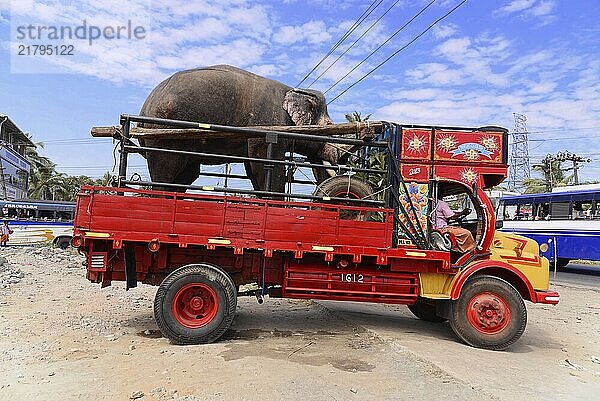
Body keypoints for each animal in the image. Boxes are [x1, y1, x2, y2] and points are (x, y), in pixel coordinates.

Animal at [137, 64, 342, 192]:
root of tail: (145, 105)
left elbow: (253, 168)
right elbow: (264, 165)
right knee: (166, 173)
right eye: (330, 127)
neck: (293, 89)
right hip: (162, 132)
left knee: (186, 175)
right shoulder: (268, 124)